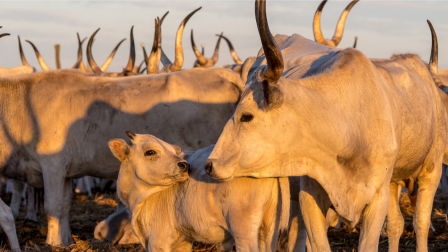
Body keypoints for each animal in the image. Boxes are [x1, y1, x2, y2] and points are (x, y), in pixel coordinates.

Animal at [109, 133, 290, 251]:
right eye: (150, 152)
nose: (184, 165)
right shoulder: (182, 241)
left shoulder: (157, 240)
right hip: (268, 229)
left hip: (243, 229)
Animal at [205, 0, 446, 251]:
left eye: (247, 116)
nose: (210, 165)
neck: (348, 129)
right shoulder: (309, 197)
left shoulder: (379, 197)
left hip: (431, 170)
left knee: (419, 222)